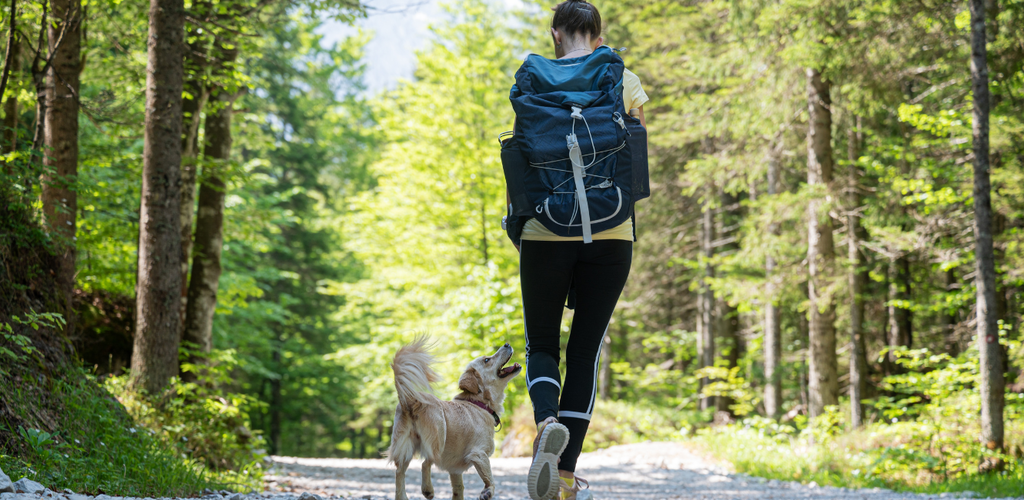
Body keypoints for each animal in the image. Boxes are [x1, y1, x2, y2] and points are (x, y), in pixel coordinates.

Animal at [387, 340, 524, 500]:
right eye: (486, 360)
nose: (507, 344)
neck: (479, 403)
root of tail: (411, 400)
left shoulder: (455, 470)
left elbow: (459, 489)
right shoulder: (479, 453)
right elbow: (490, 478)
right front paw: (487, 492)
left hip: (404, 447)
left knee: (399, 472)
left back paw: (403, 496)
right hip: (439, 435)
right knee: (426, 462)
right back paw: (428, 489)